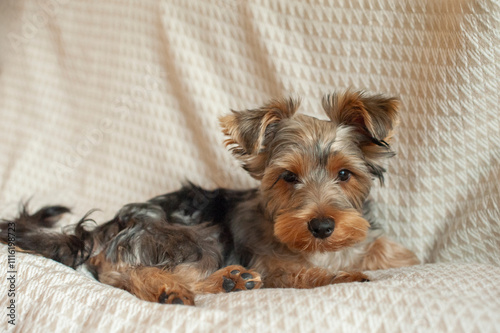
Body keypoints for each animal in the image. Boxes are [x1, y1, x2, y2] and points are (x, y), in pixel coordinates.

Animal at [0, 90, 418, 304]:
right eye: (288, 177)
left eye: (344, 174)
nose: (322, 225)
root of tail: (104, 230)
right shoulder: (270, 261)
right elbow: (302, 272)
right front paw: (343, 275)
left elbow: (386, 250)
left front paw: (391, 256)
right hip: (193, 237)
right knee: (136, 273)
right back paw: (194, 285)